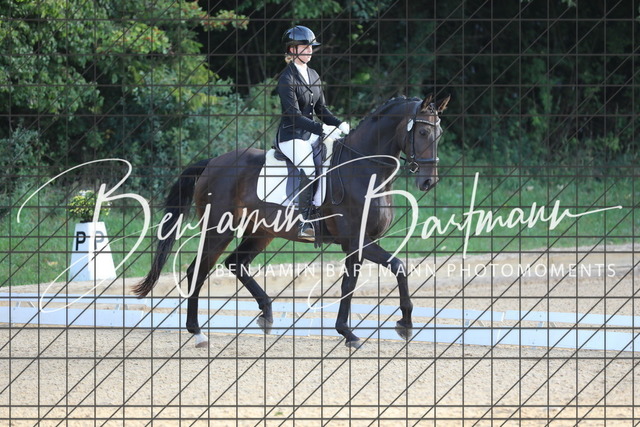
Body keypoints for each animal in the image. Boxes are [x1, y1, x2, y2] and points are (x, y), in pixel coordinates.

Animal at [134, 94, 450, 348]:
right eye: (423, 131)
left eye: (439, 134)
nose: (429, 182)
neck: (365, 169)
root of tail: (212, 162)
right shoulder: (357, 241)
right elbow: (398, 267)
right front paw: (402, 325)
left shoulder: (356, 245)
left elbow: (351, 284)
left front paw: (348, 332)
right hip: (219, 229)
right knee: (197, 270)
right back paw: (198, 332)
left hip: (261, 232)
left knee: (236, 263)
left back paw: (267, 316)